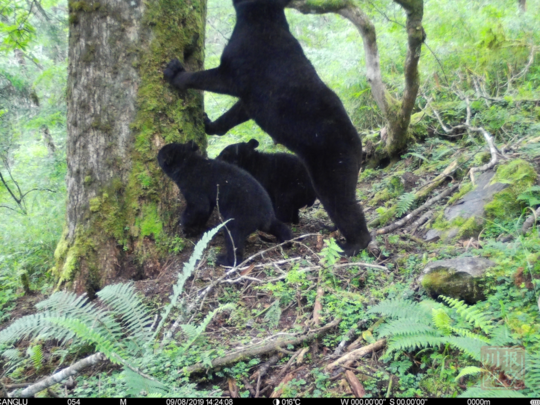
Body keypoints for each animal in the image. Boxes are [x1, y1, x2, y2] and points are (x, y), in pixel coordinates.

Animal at [156, 140, 292, 266]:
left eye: (160, 153)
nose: (157, 153)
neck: (187, 162)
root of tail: (265, 219)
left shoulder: (193, 184)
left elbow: (199, 206)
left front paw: (184, 226)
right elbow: (206, 209)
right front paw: (197, 227)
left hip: (240, 217)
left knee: (233, 238)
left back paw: (225, 260)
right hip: (267, 220)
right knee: (279, 227)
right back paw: (287, 241)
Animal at [163, 0, 372, 254]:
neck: (262, 16)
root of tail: (357, 142)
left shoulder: (236, 69)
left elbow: (204, 78)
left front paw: (174, 72)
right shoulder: (251, 99)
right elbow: (233, 115)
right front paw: (208, 124)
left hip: (331, 167)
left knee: (343, 206)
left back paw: (348, 245)